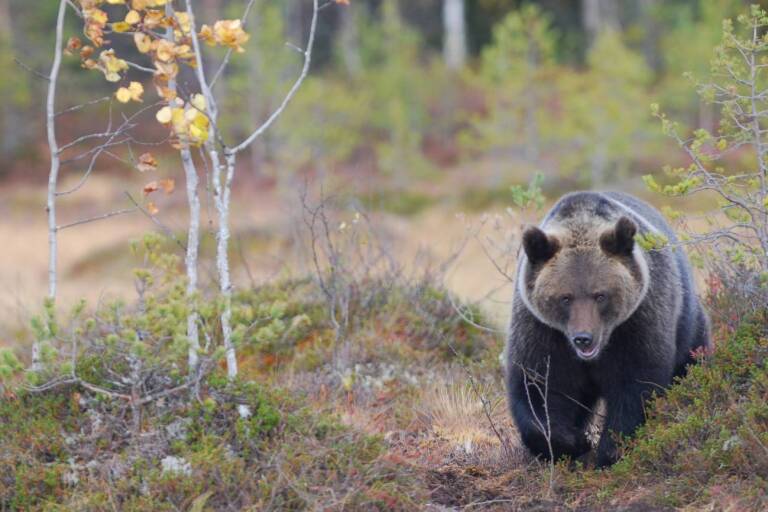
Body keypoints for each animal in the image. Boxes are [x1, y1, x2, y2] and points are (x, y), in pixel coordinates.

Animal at [506, 191, 711, 467]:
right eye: (565, 297)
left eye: (600, 295)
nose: (583, 338)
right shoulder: (542, 331)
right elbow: (538, 387)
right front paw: (571, 442)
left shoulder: (638, 321)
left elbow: (635, 386)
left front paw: (609, 450)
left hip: (687, 323)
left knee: (690, 359)